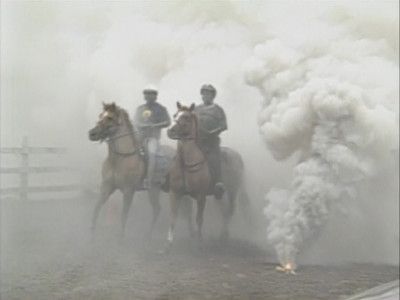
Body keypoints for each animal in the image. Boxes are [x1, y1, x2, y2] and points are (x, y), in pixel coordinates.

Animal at [87, 103, 145, 239]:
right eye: (100, 115)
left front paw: (121, 238)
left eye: (110, 118)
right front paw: (91, 235)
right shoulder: (106, 187)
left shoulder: (129, 191)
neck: (120, 159)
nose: (92, 133)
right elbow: (96, 208)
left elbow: (124, 215)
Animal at [166, 102, 250, 247]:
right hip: (219, 195)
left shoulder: (201, 196)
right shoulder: (175, 192)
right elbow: (172, 216)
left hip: (233, 189)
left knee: (230, 210)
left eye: (186, 117)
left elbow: (199, 218)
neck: (187, 164)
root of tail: (237, 156)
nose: (170, 131)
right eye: (175, 115)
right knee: (224, 211)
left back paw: (223, 235)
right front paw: (168, 244)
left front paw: (199, 241)